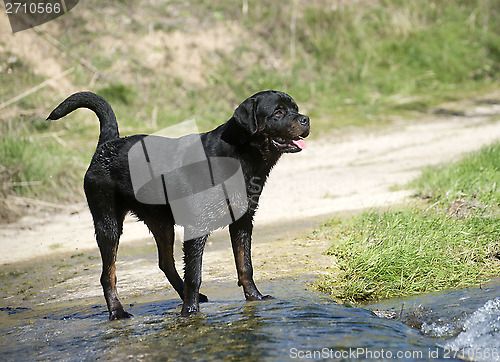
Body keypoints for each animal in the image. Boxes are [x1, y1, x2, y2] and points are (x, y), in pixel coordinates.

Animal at [48, 91, 310, 320]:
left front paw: (255, 297)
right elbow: (195, 273)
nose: (305, 119)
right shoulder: (197, 227)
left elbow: (245, 265)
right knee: (108, 274)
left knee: (165, 263)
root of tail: (108, 144)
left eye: (295, 108)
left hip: (161, 222)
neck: (240, 157)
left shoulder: (242, 222)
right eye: (278, 112)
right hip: (108, 223)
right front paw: (190, 312)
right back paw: (118, 312)